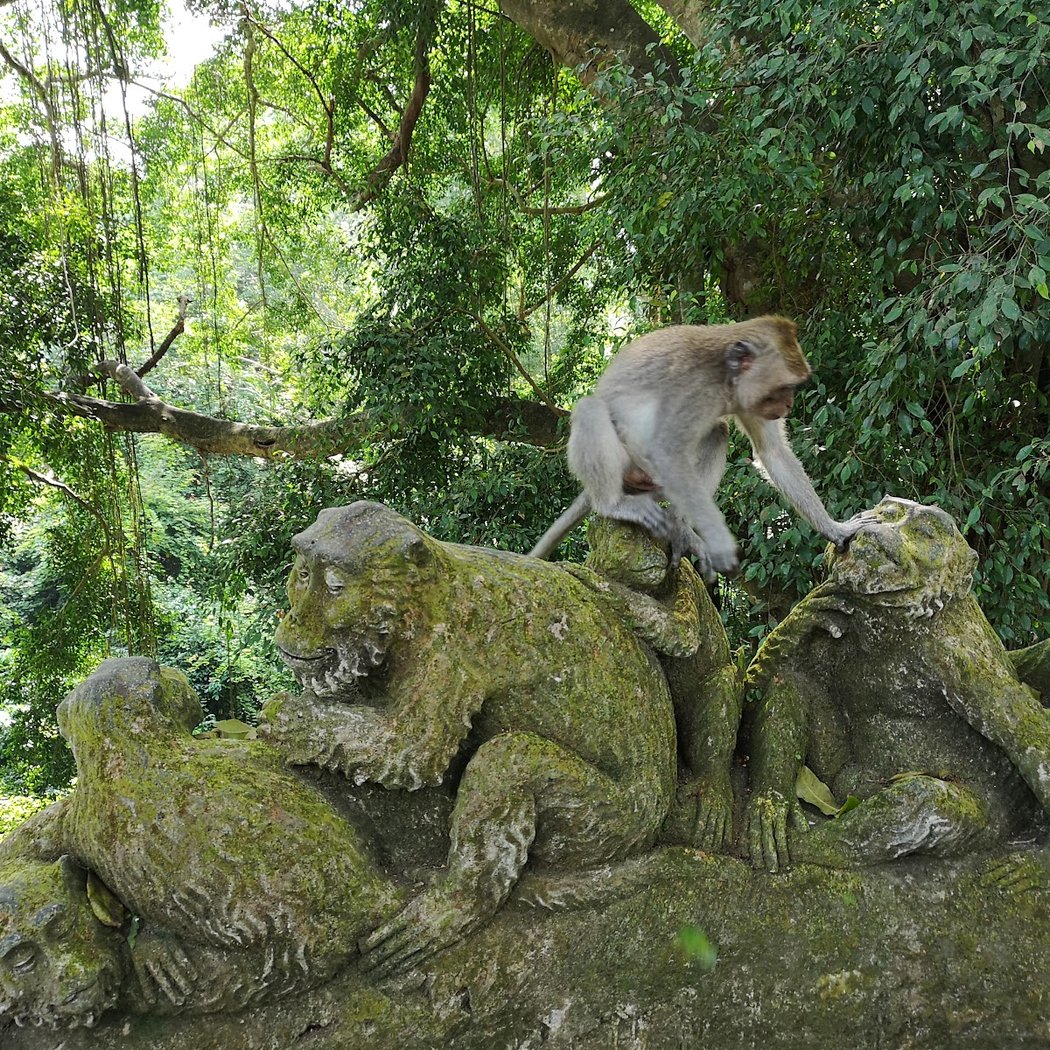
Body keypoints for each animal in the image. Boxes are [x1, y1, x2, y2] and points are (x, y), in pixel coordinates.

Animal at [529, 316, 877, 577]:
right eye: (784, 387)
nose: (789, 404)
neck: (724, 376)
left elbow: (773, 453)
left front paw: (835, 529)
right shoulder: (693, 388)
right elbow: (667, 451)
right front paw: (721, 544)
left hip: (652, 485)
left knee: (717, 432)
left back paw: (682, 528)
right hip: (630, 468)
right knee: (592, 408)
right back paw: (612, 504)